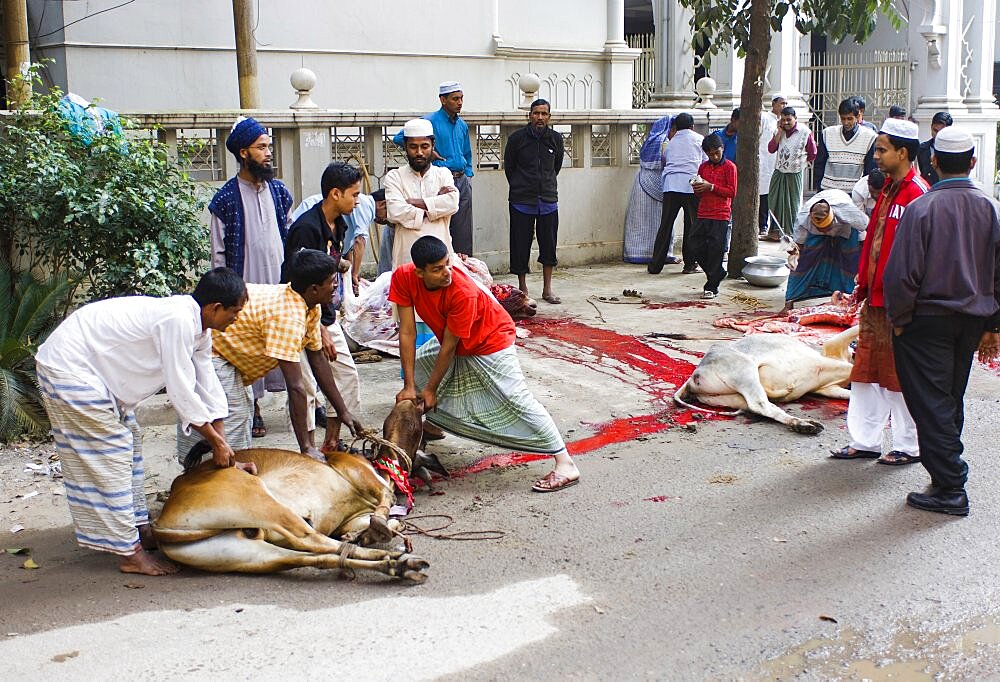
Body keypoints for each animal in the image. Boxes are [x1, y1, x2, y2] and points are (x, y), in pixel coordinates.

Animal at [153, 446, 430, 580]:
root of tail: (162, 520)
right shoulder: (363, 477)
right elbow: (386, 503)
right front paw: (379, 528)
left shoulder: (352, 518)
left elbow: (379, 522)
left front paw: (370, 533)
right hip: (262, 502)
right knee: (311, 540)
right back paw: (396, 559)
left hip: (241, 553)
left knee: (309, 557)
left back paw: (397, 565)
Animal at [672, 322, 860, 430]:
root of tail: (692, 378)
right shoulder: (829, 352)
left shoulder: (829, 387)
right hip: (745, 370)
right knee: (760, 405)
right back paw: (805, 424)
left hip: (729, 398)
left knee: (765, 407)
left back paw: (802, 424)